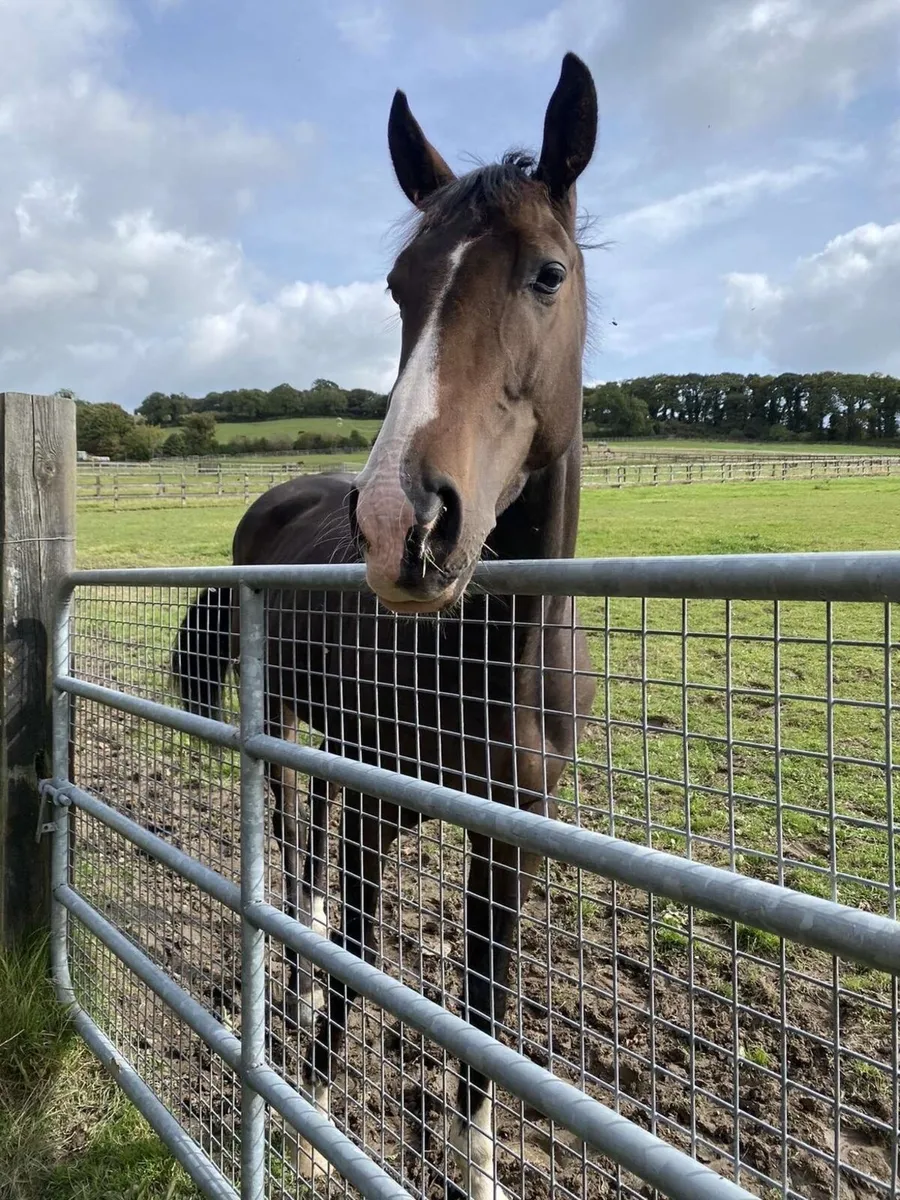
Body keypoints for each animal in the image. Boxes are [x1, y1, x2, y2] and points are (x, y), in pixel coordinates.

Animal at [172, 51, 599, 1200]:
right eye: (401, 288)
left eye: (548, 274)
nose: (401, 522)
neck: (491, 662)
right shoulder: (377, 810)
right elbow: (364, 961)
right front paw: (311, 1114)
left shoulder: (513, 838)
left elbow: (486, 1007)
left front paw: (477, 1167)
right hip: (283, 726)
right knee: (291, 835)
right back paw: (292, 967)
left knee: (311, 840)